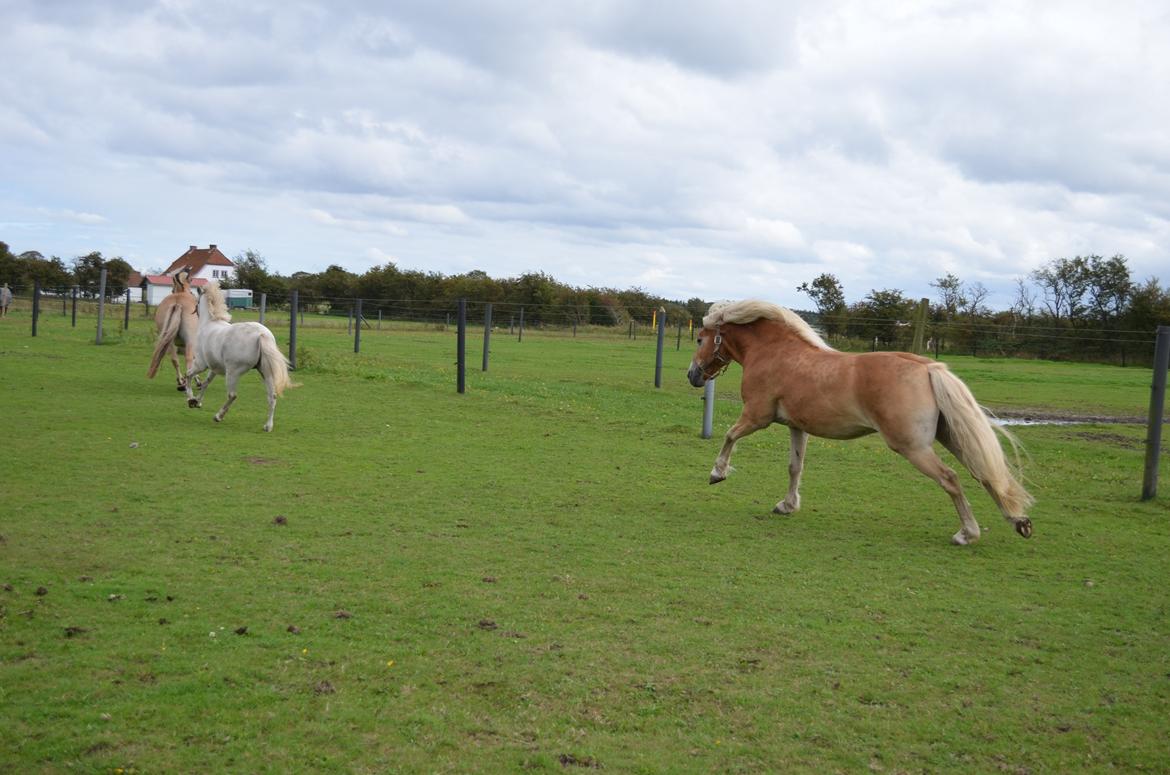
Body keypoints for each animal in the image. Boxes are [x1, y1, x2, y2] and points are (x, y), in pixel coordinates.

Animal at [184, 282, 297, 433]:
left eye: (196, 301)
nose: (194, 310)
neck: (209, 323)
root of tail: (261, 335)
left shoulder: (201, 364)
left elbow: (189, 375)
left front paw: (191, 400)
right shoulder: (214, 368)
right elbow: (205, 383)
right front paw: (197, 402)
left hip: (232, 372)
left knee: (232, 395)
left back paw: (218, 416)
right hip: (265, 372)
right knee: (272, 396)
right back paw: (268, 426)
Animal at [683, 298, 1034, 545]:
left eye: (700, 339)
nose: (693, 375)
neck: (775, 353)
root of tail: (928, 368)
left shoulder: (757, 416)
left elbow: (729, 436)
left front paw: (717, 473)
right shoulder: (797, 427)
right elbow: (795, 467)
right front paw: (787, 505)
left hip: (912, 447)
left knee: (951, 478)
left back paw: (967, 534)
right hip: (949, 436)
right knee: (985, 473)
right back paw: (1019, 521)